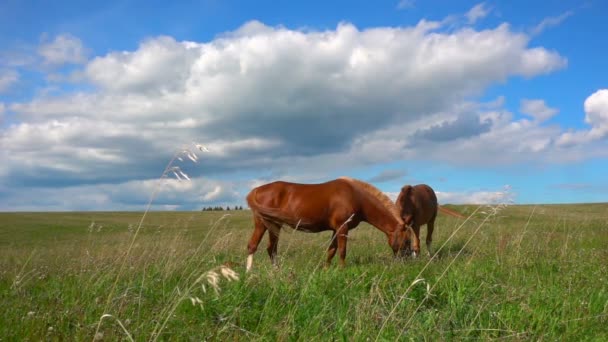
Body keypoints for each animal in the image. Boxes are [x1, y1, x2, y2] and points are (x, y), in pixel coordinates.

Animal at [246, 178, 408, 272]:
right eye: (406, 241)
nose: (405, 262)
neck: (356, 196)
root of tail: (256, 190)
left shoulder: (335, 230)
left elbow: (331, 250)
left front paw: (326, 269)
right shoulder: (343, 227)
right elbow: (342, 250)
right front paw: (342, 270)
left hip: (274, 225)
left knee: (271, 248)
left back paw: (276, 271)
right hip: (262, 224)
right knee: (253, 246)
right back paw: (248, 273)